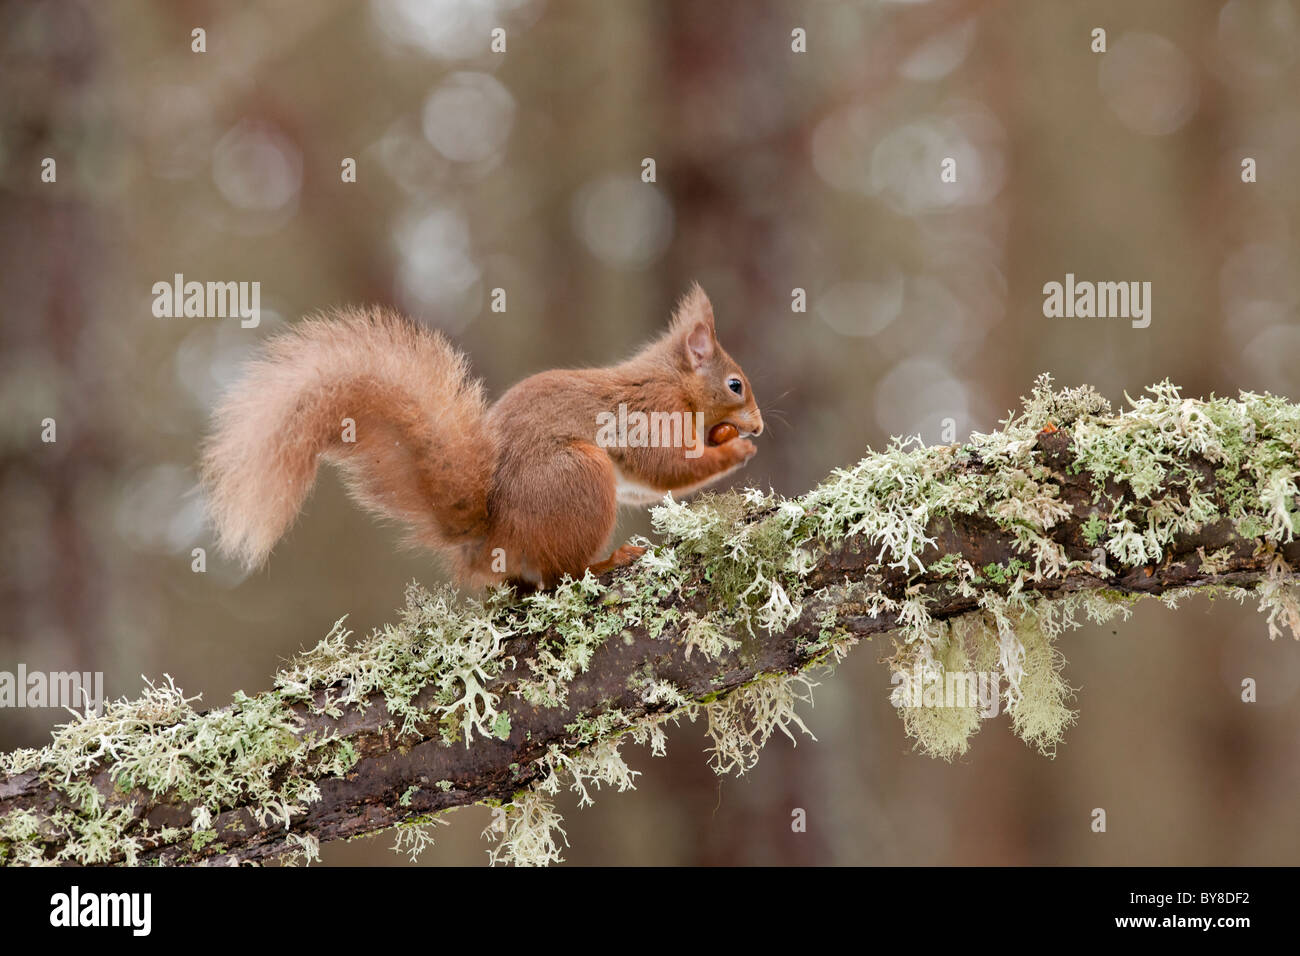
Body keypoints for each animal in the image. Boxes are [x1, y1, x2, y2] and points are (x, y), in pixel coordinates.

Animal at [200, 280, 759, 587]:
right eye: (736, 384)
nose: (758, 424)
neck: (674, 380)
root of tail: (493, 539)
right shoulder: (651, 412)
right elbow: (667, 467)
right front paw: (735, 449)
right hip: (578, 477)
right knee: (562, 576)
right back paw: (608, 561)